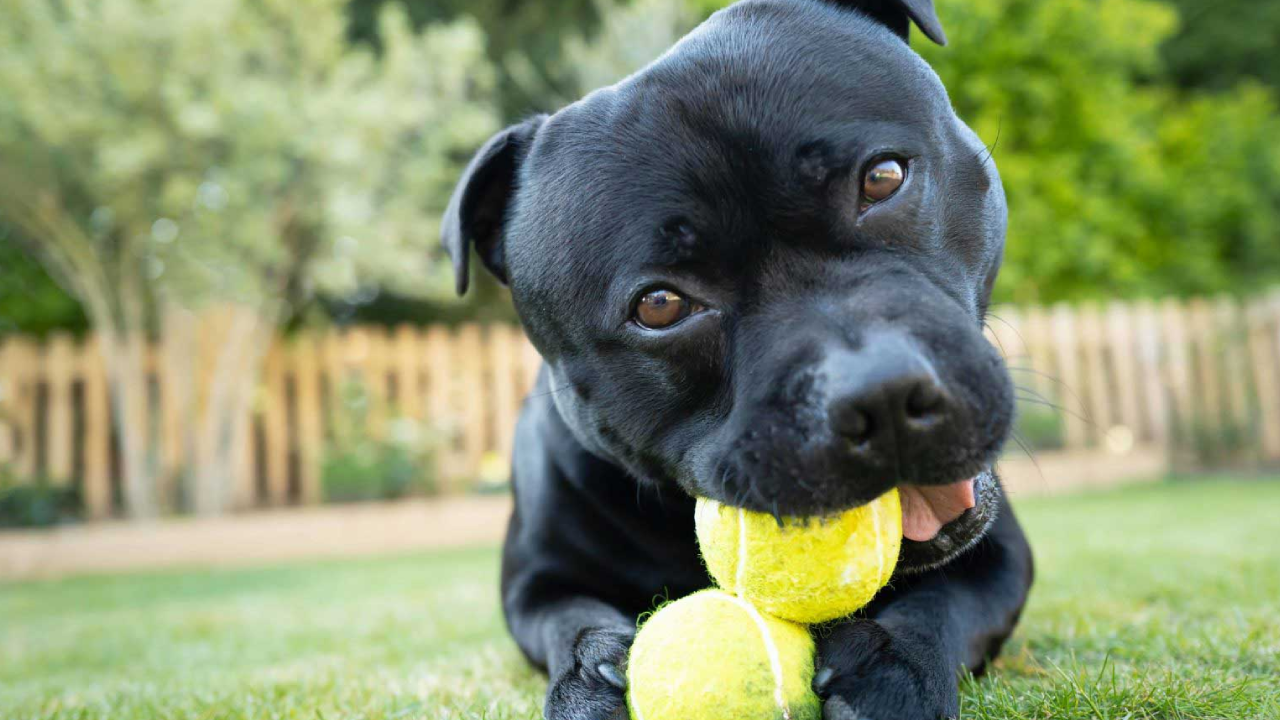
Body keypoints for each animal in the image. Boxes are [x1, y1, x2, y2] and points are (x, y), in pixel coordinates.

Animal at [445, 2, 1034, 712]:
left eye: (883, 178)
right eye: (660, 304)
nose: (882, 394)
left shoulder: (999, 553)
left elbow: (943, 601)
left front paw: (895, 668)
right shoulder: (536, 582)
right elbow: (567, 616)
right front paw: (591, 674)